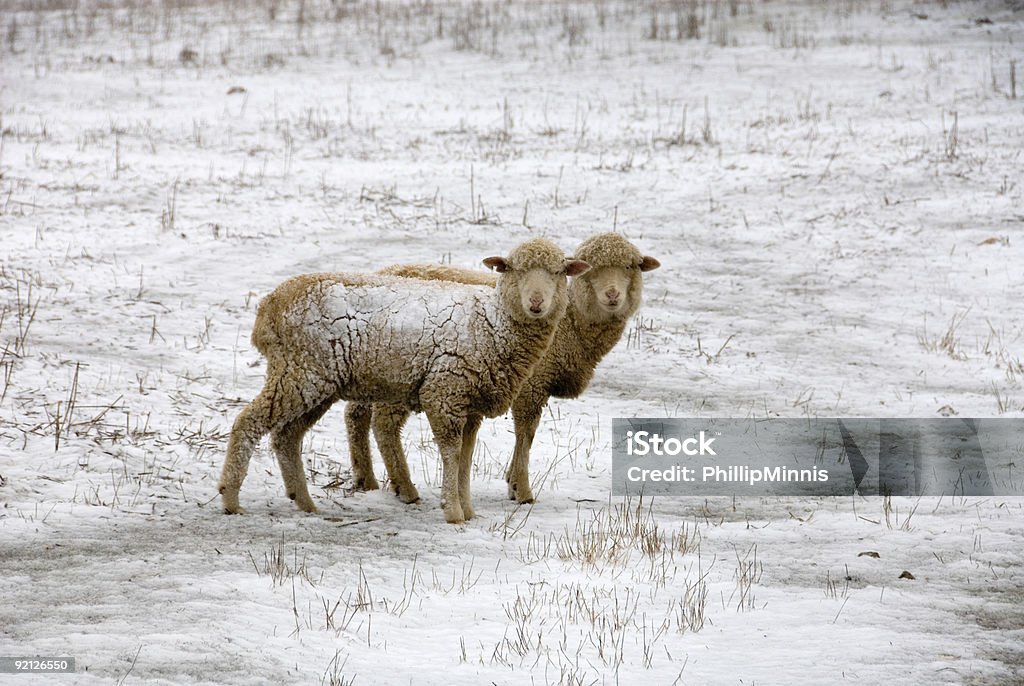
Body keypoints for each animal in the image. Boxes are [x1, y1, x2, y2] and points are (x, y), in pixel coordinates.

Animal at [219, 239, 589, 524]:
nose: (537, 302)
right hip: (300, 373)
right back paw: (230, 498)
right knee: (248, 422)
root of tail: (268, 307)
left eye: (558, 272)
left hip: (314, 381)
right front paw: (453, 511)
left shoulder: (471, 404)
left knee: (286, 437)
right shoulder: (445, 392)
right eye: (514, 269)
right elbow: (452, 454)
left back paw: (305, 503)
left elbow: (466, 457)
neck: (493, 323)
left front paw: (468, 509)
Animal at [348, 233, 659, 507]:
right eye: (591, 268)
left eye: (631, 266)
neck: (571, 322)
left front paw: (512, 480)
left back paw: (367, 479)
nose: (612, 295)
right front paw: (520, 489)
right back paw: (405, 488)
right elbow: (526, 433)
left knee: (355, 414)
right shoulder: (532, 384)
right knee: (384, 424)